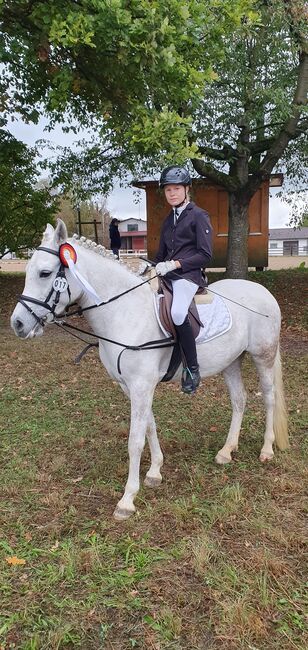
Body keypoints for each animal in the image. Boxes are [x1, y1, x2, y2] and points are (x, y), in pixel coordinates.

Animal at [9, 220, 288, 520]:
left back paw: (266, 450)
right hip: (231, 362)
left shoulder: (142, 385)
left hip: (263, 357)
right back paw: (227, 451)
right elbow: (150, 427)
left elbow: (135, 440)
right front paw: (155, 472)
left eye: (45, 273)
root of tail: (262, 291)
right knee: (239, 400)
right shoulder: (131, 386)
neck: (124, 312)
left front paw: (127, 499)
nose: (18, 324)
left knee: (269, 399)